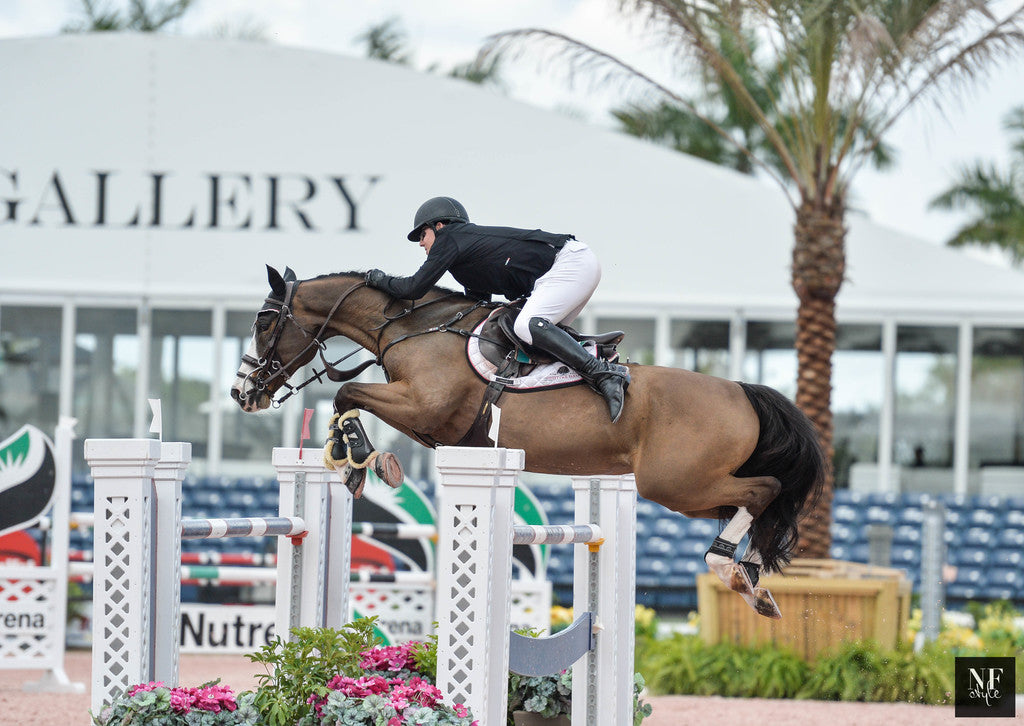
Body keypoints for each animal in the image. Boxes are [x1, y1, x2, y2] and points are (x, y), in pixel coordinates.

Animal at [230, 266, 823, 618]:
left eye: (263, 321)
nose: (243, 393)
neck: (414, 327)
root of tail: (741, 391)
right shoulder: (430, 424)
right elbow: (346, 395)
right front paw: (354, 460)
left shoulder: (425, 407)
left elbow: (345, 390)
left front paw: (359, 458)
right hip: (691, 486)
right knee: (760, 500)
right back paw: (752, 578)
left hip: (676, 483)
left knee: (764, 491)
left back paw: (731, 569)